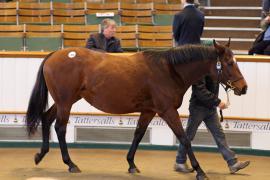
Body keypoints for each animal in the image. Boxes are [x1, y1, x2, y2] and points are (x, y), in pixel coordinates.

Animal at [25, 40, 247, 180]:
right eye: (229, 63)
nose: (243, 88)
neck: (169, 70)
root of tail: (55, 54)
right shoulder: (167, 111)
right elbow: (184, 138)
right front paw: (200, 171)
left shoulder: (149, 110)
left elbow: (139, 134)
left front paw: (131, 163)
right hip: (65, 102)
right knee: (60, 128)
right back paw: (70, 164)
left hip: (65, 101)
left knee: (46, 118)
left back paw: (40, 155)